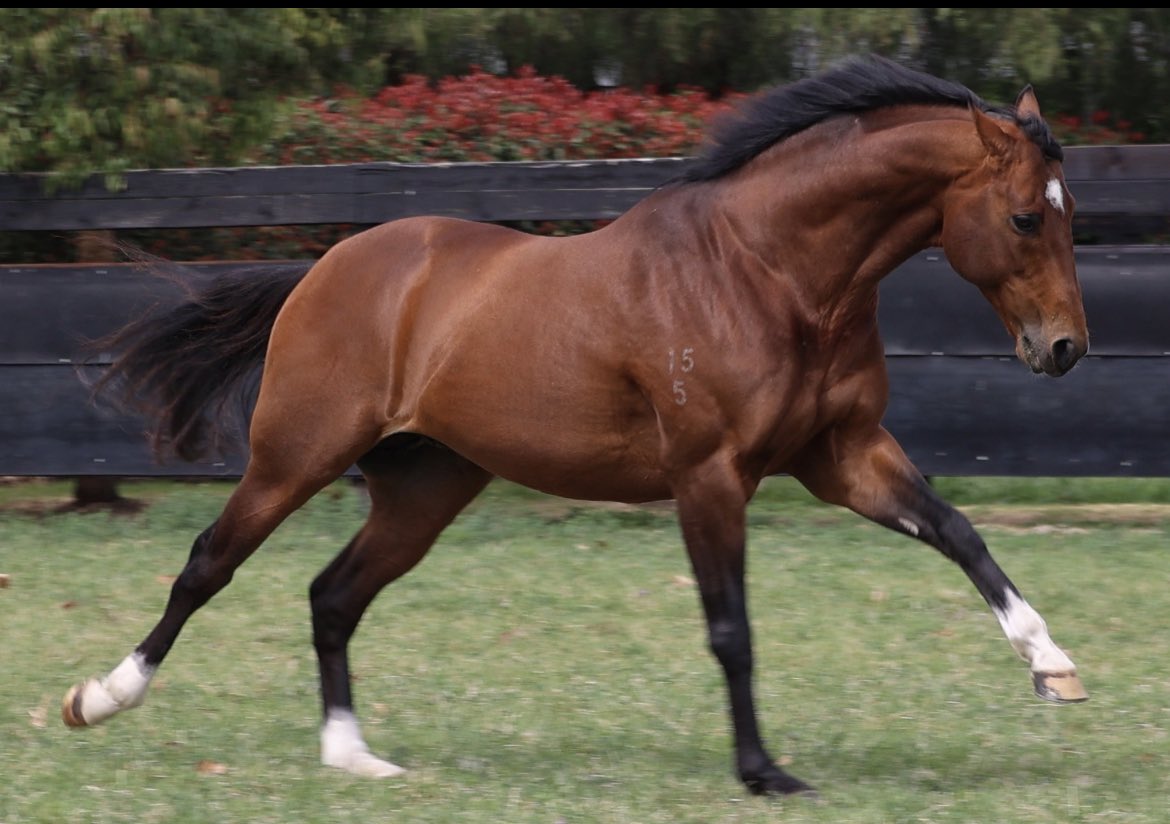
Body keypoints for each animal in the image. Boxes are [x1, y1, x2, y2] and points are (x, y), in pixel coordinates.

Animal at [62, 53, 1089, 797]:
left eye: (1067, 211)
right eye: (1024, 217)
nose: (1065, 347)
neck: (769, 270)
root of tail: (324, 269)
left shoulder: (842, 456)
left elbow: (959, 532)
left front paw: (1054, 666)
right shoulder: (709, 475)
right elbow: (731, 627)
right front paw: (764, 772)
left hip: (425, 488)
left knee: (332, 596)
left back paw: (355, 758)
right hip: (294, 458)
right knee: (208, 564)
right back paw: (99, 699)